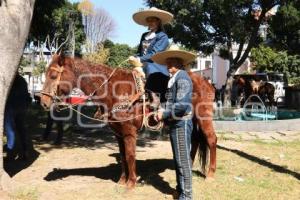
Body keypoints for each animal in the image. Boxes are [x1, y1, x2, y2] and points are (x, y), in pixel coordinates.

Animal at [41, 54, 217, 188]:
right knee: (195, 141)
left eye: (53, 75)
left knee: (211, 139)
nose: (43, 101)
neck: (114, 89)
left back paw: (210, 174)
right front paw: (122, 180)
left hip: (203, 117)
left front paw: (131, 183)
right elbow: (123, 155)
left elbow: (131, 155)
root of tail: (207, 82)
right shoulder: (118, 133)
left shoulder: (129, 131)